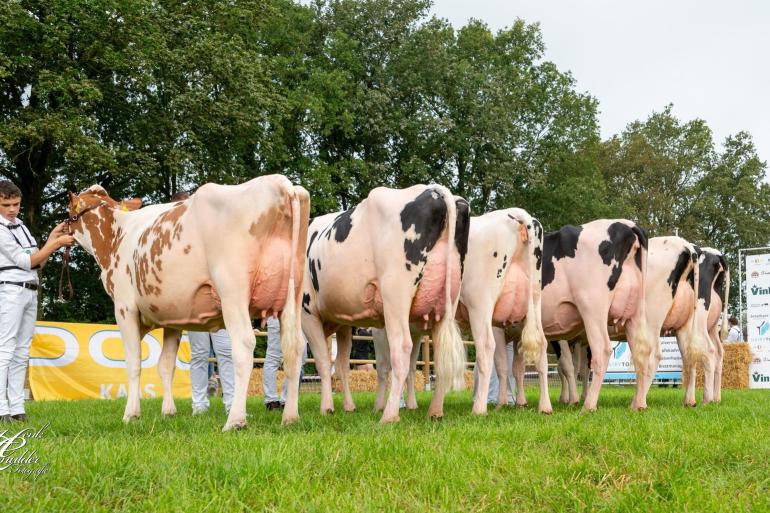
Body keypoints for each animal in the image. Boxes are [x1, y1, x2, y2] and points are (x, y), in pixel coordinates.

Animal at [67, 176, 308, 428]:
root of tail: (281, 183)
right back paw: (290, 417)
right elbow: (165, 365)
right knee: (295, 348)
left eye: (69, 211)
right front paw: (168, 411)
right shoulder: (173, 317)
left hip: (232, 292)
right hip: (294, 294)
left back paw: (235, 420)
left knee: (243, 346)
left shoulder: (124, 307)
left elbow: (133, 363)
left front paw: (131, 414)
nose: (63, 228)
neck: (118, 234)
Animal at [302, 183, 468, 420]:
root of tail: (433, 190)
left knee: (402, 349)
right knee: (439, 355)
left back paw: (389, 415)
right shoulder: (344, 323)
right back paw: (435, 411)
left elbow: (323, 362)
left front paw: (326, 408)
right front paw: (348, 406)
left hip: (395, 296)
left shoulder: (306, 313)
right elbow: (342, 364)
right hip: (447, 302)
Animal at [370, 206, 544, 414]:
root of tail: (517, 213)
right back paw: (545, 407)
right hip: (534, 303)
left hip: (480, 302)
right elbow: (411, 367)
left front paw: (380, 406)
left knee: (487, 347)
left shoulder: (381, 327)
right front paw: (411, 405)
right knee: (541, 346)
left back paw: (479, 408)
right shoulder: (415, 331)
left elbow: (383, 368)